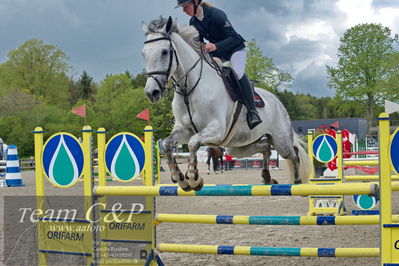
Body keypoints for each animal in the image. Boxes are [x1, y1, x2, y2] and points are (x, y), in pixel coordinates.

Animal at [142, 16, 310, 190]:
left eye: (164, 52)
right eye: (143, 54)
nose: (151, 92)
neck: (189, 89)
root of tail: (277, 101)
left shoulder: (217, 128)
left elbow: (193, 142)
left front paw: (194, 178)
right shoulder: (184, 129)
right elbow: (168, 144)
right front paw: (179, 178)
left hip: (280, 141)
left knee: (293, 154)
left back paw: (297, 181)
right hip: (237, 146)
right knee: (265, 148)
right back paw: (267, 177)